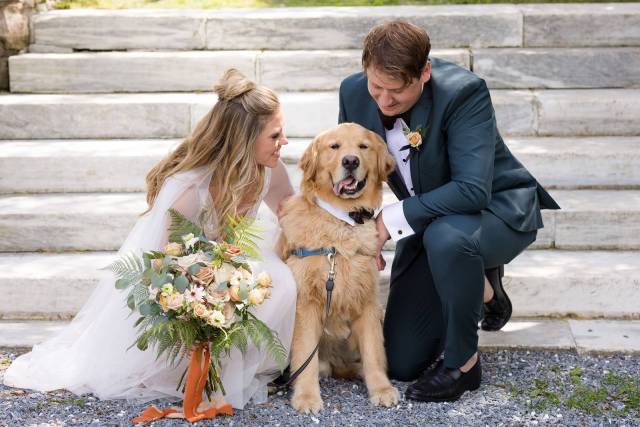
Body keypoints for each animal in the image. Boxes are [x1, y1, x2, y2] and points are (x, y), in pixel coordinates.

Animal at [276, 123, 400, 414]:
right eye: (334, 147)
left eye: (363, 147)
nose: (351, 161)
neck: (342, 222)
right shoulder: (306, 304)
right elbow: (306, 358)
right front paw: (307, 397)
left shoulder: (367, 302)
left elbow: (373, 352)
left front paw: (381, 389)